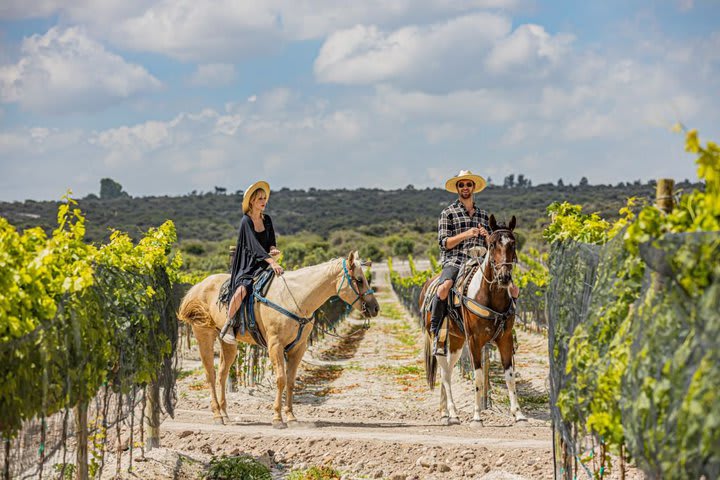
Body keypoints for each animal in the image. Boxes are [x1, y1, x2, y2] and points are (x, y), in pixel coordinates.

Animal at [177, 251, 380, 428]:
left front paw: (291, 417)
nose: (375, 308)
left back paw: (225, 414)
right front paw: (277, 418)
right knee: (210, 374)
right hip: (204, 335)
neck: (294, 298)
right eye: (359, 280)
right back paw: (217, 415)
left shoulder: (299, 347)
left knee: (222, 374)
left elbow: (290, 381)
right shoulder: (275, 345)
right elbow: (280, 379)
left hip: (228, 343)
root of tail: (198, 286)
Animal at [416, 216, 528, 426]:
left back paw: (445, 412)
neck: (491, 297)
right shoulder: (475, 341)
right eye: (492, 244)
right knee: (444, 373)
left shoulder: (505, 339)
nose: (504, 277)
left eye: (513, 244)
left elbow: (509, 376)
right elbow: (478, 377)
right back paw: (452, 413)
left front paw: (519, 415)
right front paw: (477, 416)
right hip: (438, 339)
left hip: (457, 341)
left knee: (447, 371)